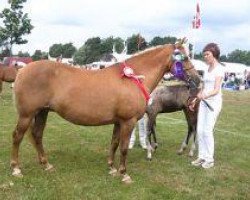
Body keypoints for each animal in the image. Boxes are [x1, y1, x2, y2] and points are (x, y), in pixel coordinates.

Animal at [10, 38, 201, 183]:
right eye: (184, 57)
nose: (198, 79)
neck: (132, 78)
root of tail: (22, 70)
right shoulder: (128, 121)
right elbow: (123, 148)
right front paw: (124, 174)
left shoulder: (119, 121)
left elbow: (114, 143)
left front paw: (111, 168)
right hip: (27, 115)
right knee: (17, 136)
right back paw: (16, 169)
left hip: (42, 112)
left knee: (37, 135)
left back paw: (46, 164)